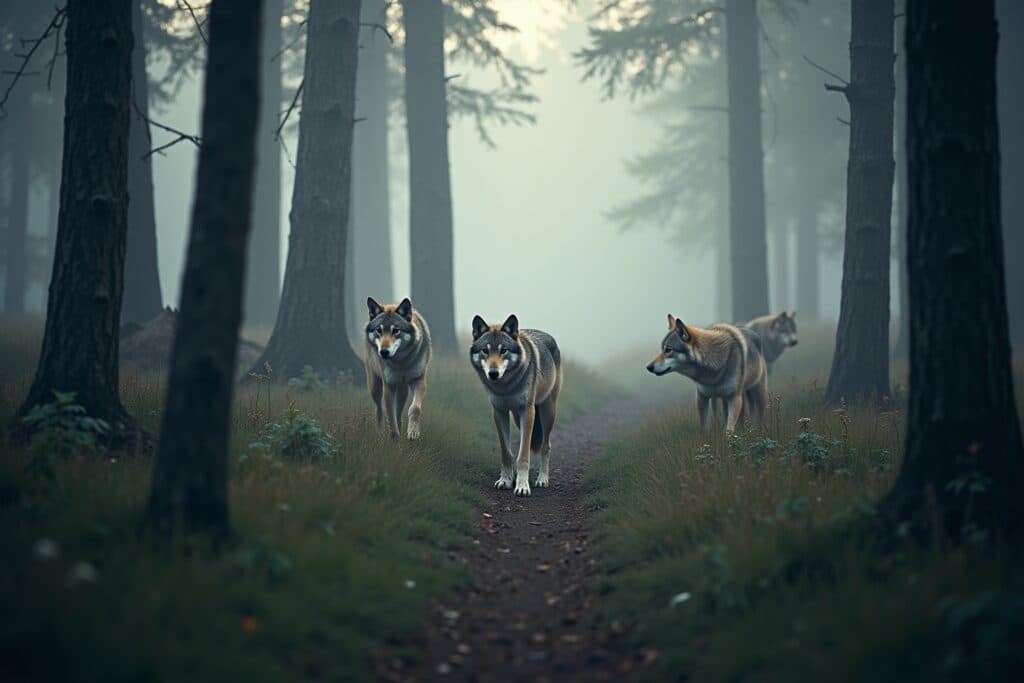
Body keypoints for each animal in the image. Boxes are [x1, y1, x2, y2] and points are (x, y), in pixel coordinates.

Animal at [364, 297, 431, 440]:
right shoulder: (388, 386)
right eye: (379, 330)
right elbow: (390, 416)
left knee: (399, 413)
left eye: (396, 330)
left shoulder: (419, 380)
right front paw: (394, 439)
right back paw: (379, 433)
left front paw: (413, 433)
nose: (384, 352)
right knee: (379, 410)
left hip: (403, 390)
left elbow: (415, 408)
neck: (401, 362)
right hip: (375, 387)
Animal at [470, 314, 563, 497]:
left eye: (503, 350)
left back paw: (542, 479)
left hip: (547, 412)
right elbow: (507, 453)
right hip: (517, 417)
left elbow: (524, 455)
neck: (506, 386)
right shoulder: (499, 412)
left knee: (545, 446)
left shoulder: (527, 411)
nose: (493, 373)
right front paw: (506, 480)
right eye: (485, 350)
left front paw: (522, 486)